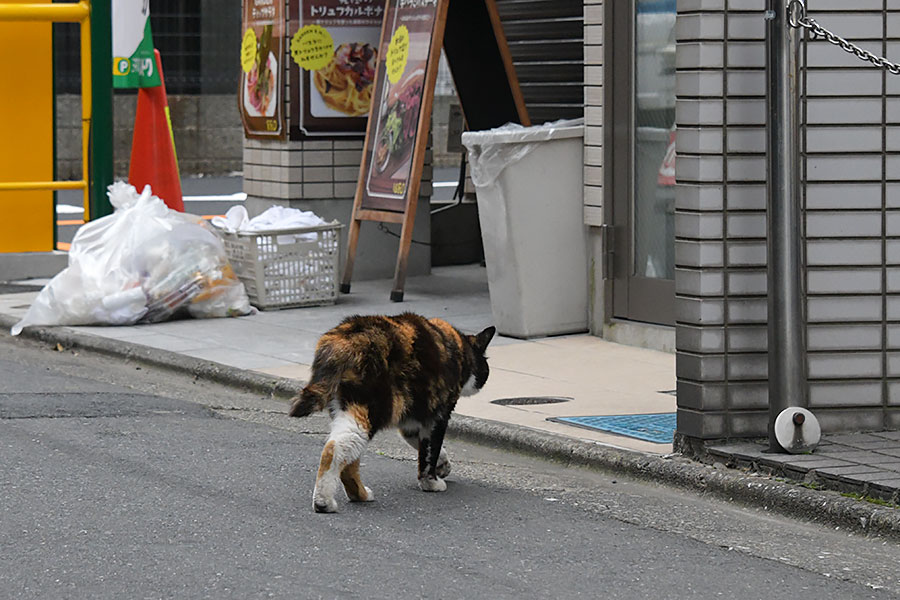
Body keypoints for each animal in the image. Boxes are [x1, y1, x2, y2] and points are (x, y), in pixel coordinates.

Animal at [288, 312, 496, 512]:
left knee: (349, 460)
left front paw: (443, 466)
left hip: (347, 410)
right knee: (334, 450)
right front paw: (431, 482)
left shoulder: (411, 423)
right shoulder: (438, 416)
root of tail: (343, 338)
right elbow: (430, 451)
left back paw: (360, 495)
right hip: (370, 412)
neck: (459, 350)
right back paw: (323, 502)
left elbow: (424, 447)